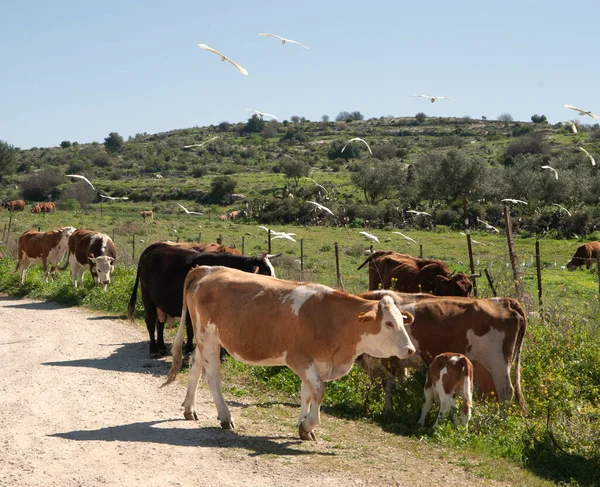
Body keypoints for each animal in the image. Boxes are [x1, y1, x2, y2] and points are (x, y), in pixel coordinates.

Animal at [127, 243, 278, 358]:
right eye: (265, 273)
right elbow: (191, 329)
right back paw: (153, 350)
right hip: (147, 296)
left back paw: (162, 346)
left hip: (160, 301)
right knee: (150, 322)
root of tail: (153, 247)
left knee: (160, 322)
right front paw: (190, 349)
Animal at [163, 266, 418, 442]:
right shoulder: (300, 359)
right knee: (212, 375)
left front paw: (303, 427)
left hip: (205, 337)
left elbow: (307, 394)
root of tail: (208, 268)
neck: (331, 318)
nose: (410, 349)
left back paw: (190, 408)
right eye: (388, 323)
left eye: (401, 321)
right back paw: (225, 417)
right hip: (208, 336)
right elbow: (319, 391)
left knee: (195, 364)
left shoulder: (316, 363)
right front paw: (308, 425)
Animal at [354, 292, 528, 414]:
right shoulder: (401, 363)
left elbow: (388, 386)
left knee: (506, 392)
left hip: (498, 364)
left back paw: (499, 422)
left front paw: (387, 411)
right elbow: (401, 384)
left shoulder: (389, 360)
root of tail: (504, 301)